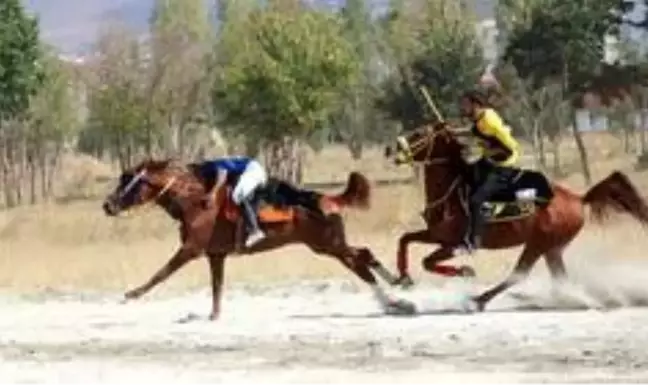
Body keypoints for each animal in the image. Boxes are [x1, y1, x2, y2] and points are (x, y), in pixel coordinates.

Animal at [101, 158, 416, 320]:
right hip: (328, 245)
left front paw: (131, 294)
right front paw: (215, 315)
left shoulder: (191, 249)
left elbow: (160, 274)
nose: (107, 205)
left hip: (329, 244)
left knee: (361, 264)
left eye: (128, 180)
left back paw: (393, 300)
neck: (194, 201)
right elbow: (217, 286)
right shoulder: (215, 254)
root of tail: (327, 199)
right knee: (364, 255)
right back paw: (398, 291)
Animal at [384, 121, 648, 310]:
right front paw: (402, 277)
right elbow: (405, 240)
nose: (391, 148)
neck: (453, 191)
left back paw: (479, 300)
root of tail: (579, 198)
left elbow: (427, 261)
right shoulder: (436, 235)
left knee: (518, 275)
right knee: (558, 278)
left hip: (537, 244)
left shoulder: (454, 244)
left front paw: (465, 271)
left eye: (419, 133)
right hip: (552, 248)